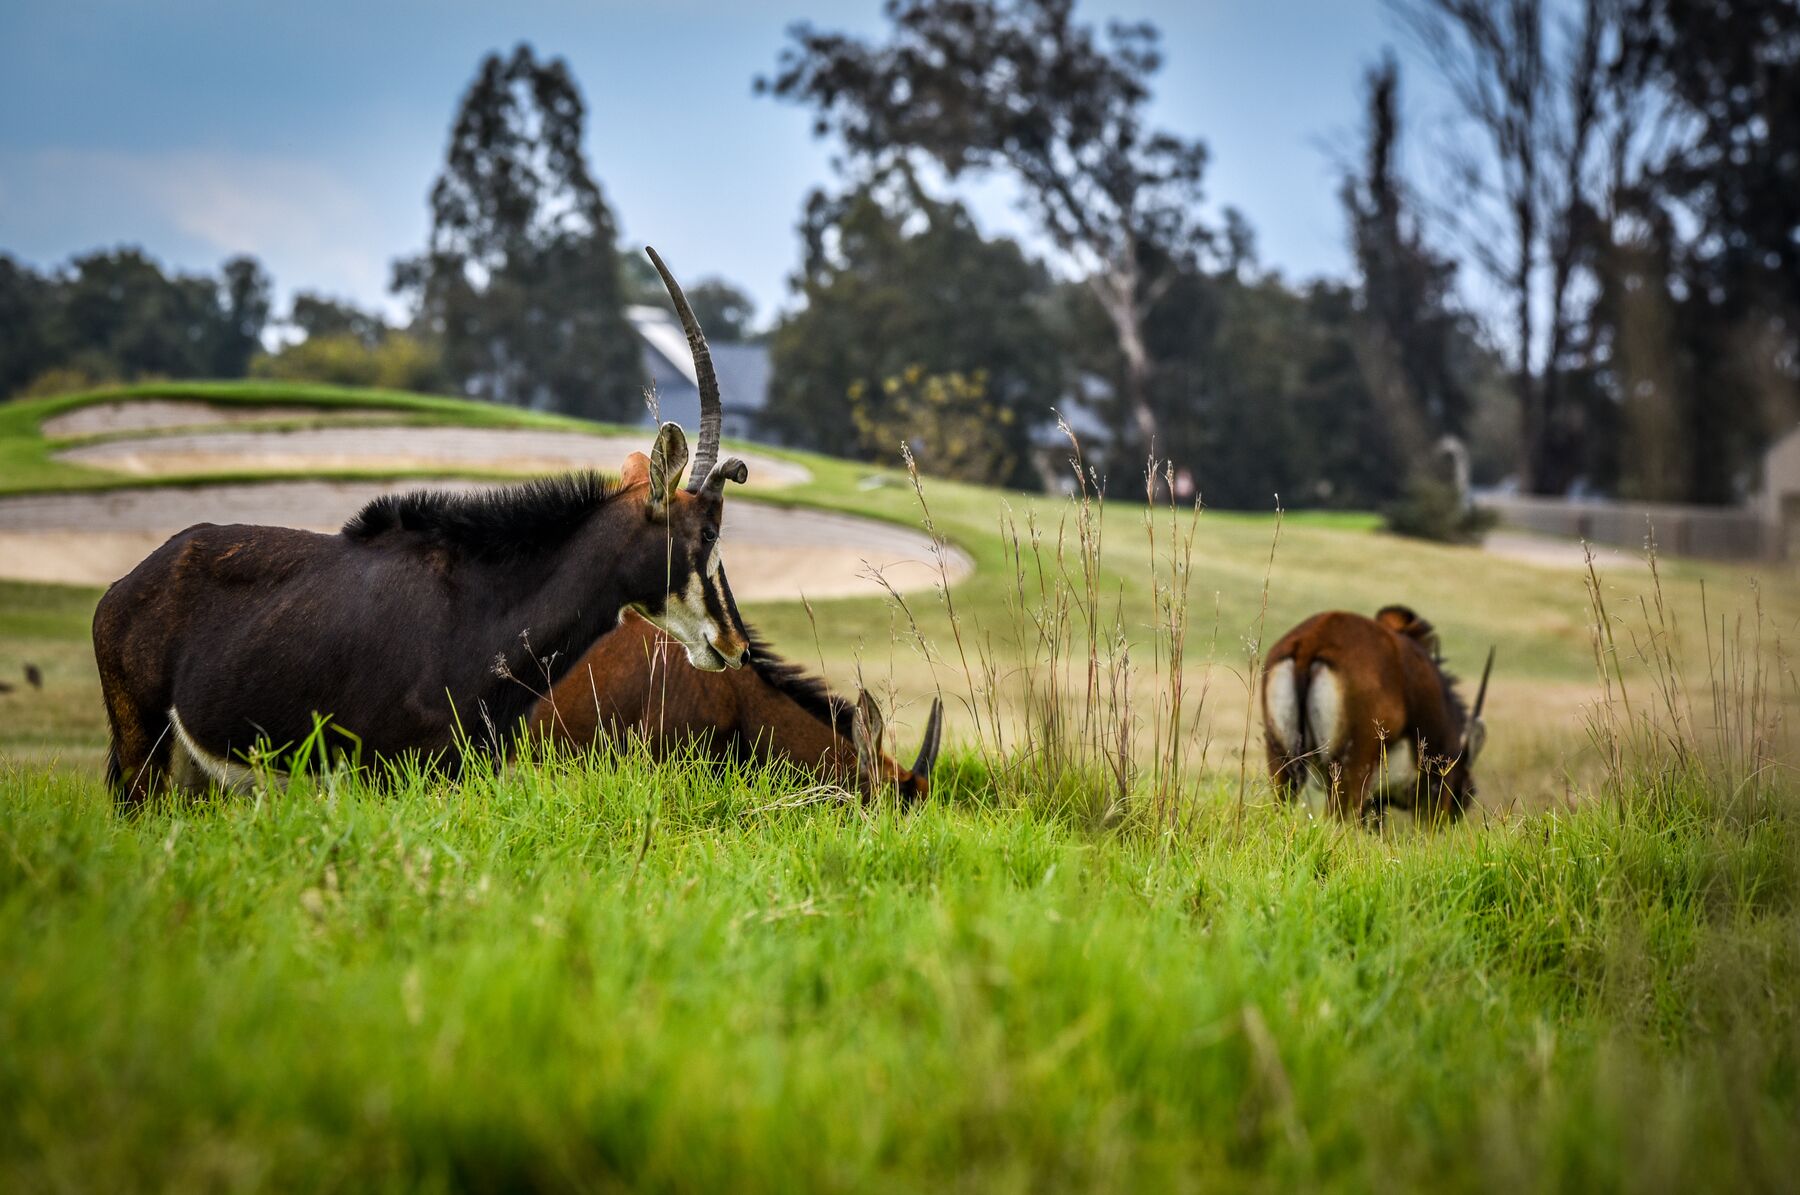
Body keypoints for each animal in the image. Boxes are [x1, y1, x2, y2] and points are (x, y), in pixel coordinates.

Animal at [94, 248, 751, 805]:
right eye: (707, 535)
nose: (736, 646)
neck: (479, 606)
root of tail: (124, 588)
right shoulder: (380, 778)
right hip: (142, 756)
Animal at [1262, 605, 1492, 823]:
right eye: (1468, 792)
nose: (1456, 816)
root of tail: (1312, 640)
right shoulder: (1436, 784)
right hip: (1351, 770)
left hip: (1282, 761)